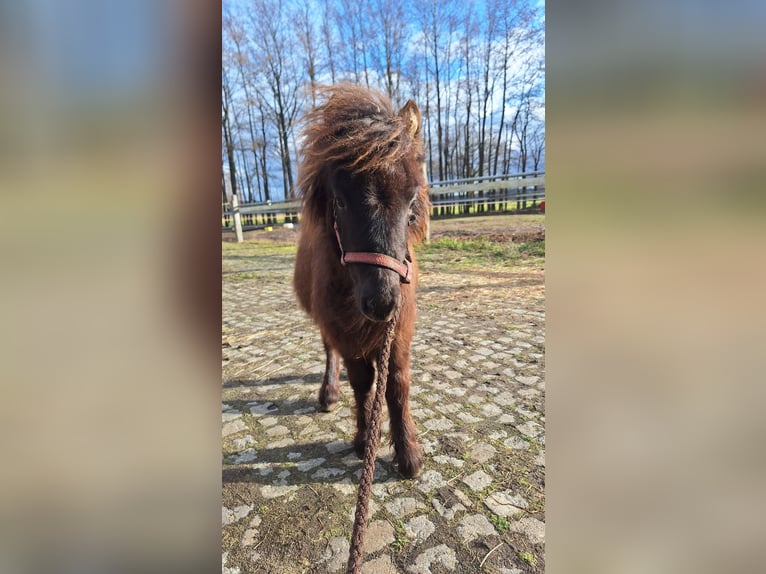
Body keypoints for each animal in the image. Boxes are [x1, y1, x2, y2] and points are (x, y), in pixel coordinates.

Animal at [294, 84, 432, 482]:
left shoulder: (398, 329)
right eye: (340, 201)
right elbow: (362, 382)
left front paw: (408, 454)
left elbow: (396, 384)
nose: (381, 302)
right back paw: (328, 392)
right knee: (330, 351)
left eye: (412, 200)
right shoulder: (347, 334)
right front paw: (363, 440)